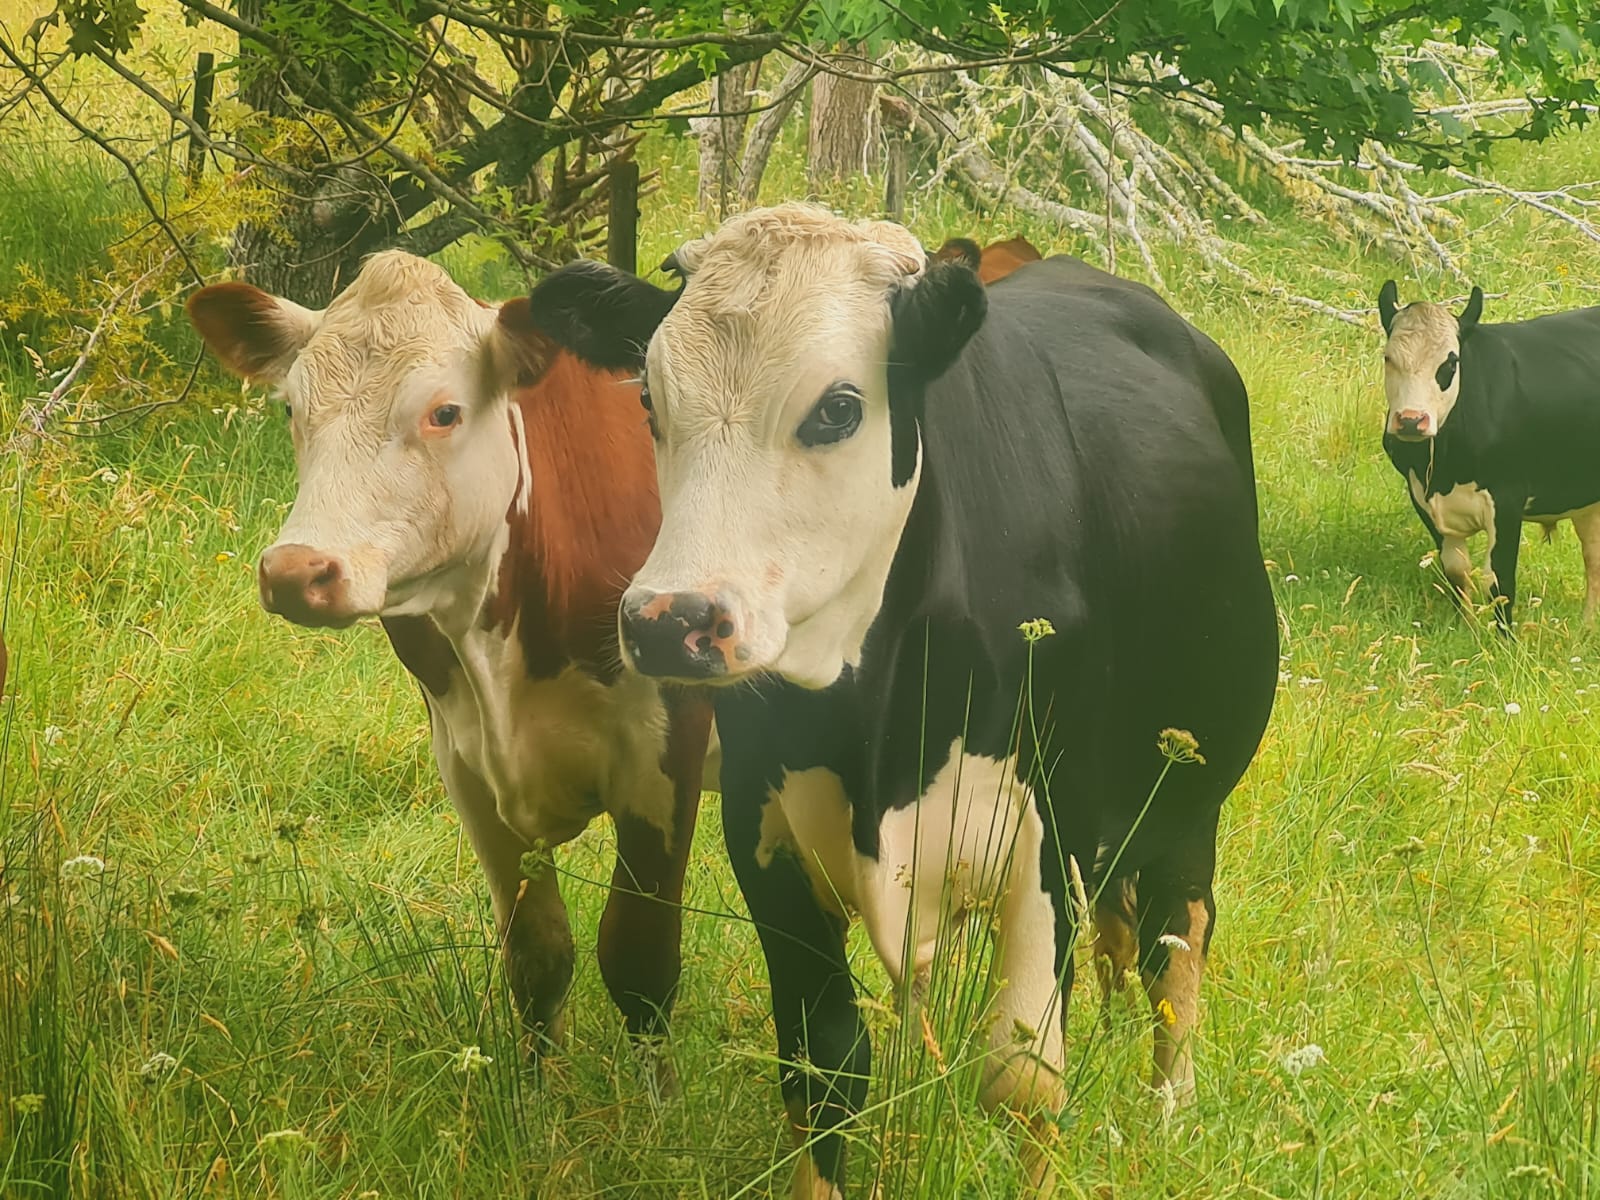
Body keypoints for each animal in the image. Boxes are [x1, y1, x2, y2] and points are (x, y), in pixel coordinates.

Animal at [186, 251, 714, 1083]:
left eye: (443, 413)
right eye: (291, 409)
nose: (296, 571)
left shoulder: (665, 756)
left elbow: (639, 963)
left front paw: (652, 1108)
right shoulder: (467, 763)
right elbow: (537, 955)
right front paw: (537, 1098)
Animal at [524, 204, 1277, 1195]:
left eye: (839, 408)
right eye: (648, 400)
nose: (668, 620)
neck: (874, 718)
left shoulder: (1048, 834)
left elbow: (1026, 1080)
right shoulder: (764, 833)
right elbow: (823, 1065)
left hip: (1189, 793)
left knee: (1175, 948)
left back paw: (1167, 1109)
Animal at [1378, 280, 1600, 630]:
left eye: (1450, 363)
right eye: (1389, 358)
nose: (1412, 420)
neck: (1444, 469)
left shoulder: (1507, 499)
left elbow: (1498, 580)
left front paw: (1503, 637)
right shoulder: (1422, 499)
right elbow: (1457, 571)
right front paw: (1465, 628)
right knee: (1594, 560)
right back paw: (1587, 628)